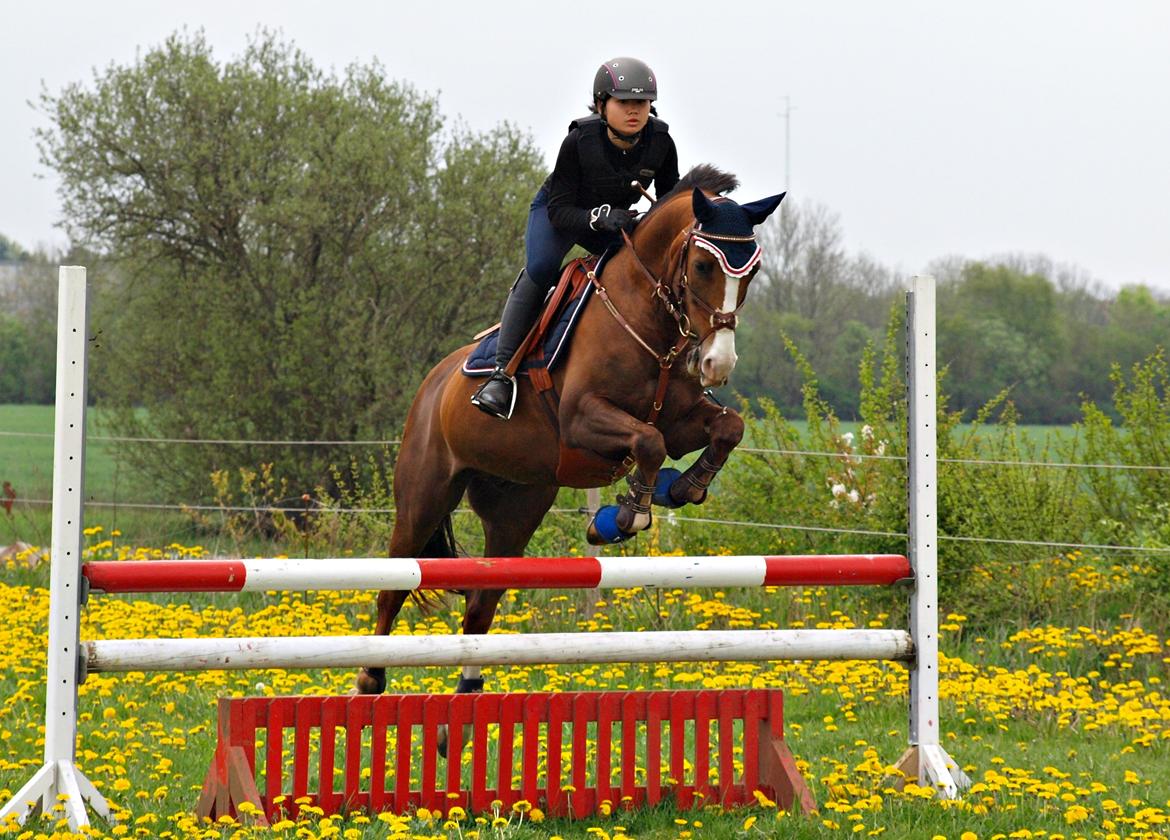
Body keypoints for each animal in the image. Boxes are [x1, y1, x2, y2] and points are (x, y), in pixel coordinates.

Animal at [355, 165, 785, 701]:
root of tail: (432, 383)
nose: (716, 364)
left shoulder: (681, 420)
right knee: (395, 582)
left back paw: (467, 694)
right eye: (704, 265)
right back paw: (370, 678)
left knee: (481, 602)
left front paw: (681, 487)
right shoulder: (582, 420)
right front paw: (627, 516)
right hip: (424, 494)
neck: (647, 321)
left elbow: (726, 427)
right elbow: (650, 442)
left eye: (753, 273)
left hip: (516, 507)